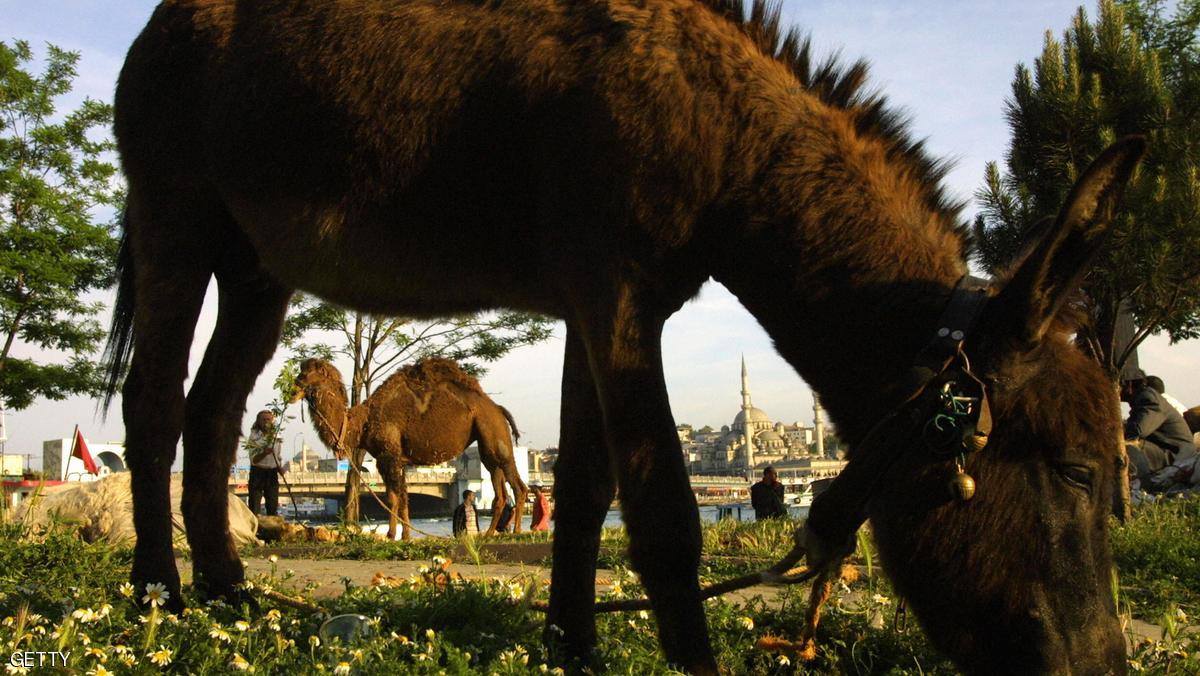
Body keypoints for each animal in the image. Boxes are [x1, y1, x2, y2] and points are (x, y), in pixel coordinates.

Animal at [289, 357, 525, 542]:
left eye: (308, 373)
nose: (293, 388)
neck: (362, 422)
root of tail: (498, 409)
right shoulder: (392, 460)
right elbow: (402, 497)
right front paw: (405, 535)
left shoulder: (389, 457)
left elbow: (393, 497)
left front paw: (391, 535)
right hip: (488, 449)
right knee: (500, 491)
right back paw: (490, 533)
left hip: (494, 434)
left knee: (518, 486)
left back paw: (516, 532)